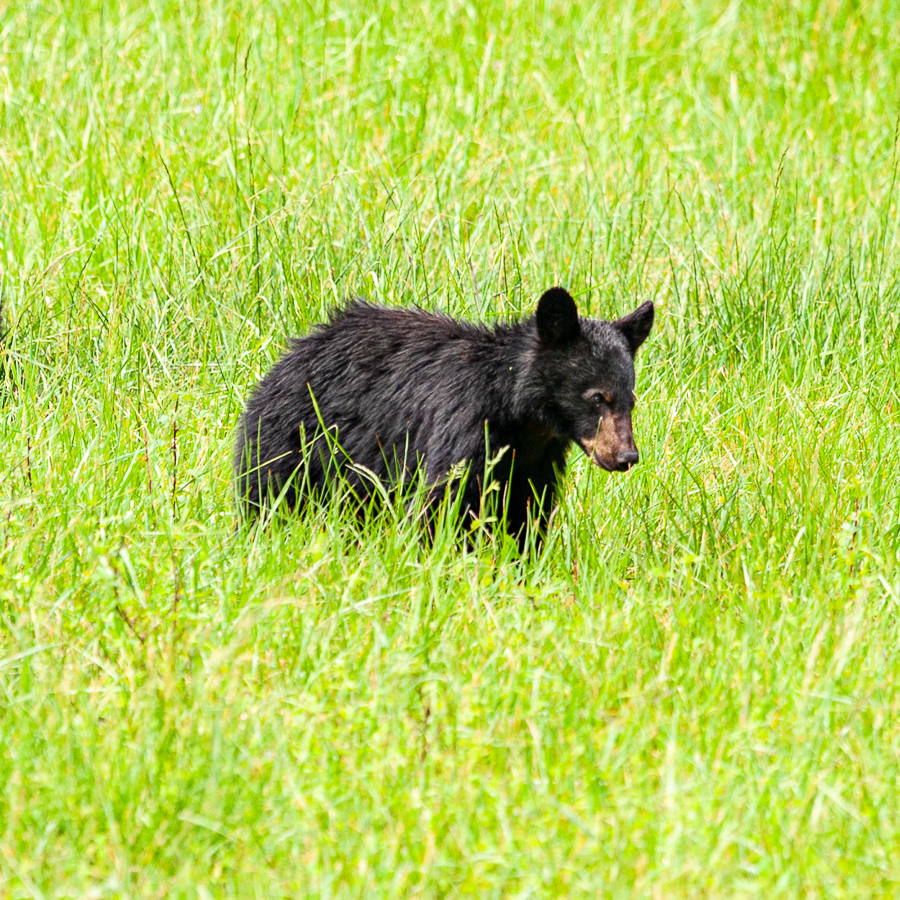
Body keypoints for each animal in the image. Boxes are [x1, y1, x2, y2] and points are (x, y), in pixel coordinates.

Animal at [233, 287, 654, 549]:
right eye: (597, 397)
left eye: (631, 400)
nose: (626, 457)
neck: (520, 416)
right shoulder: (462, 424)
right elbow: (443, 498)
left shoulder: (535, 459)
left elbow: (526, 510)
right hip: (299, 440)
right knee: (272, 493)